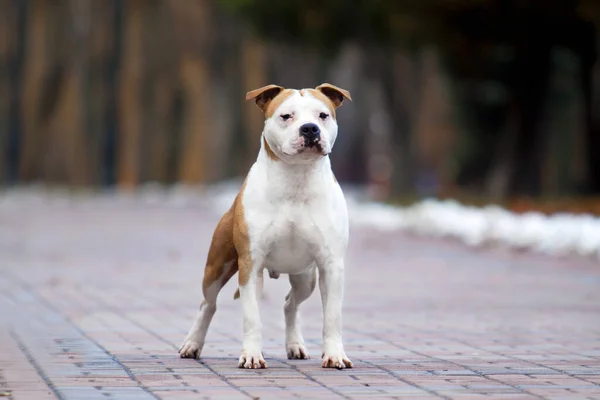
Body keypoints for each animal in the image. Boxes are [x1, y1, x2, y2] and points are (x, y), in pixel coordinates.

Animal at [180, 83, 354, 370]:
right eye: (286, 116)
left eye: (323, 115)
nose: (309, 129)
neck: (296, 179)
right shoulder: (251, 264)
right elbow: (252, 316)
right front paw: (251, 355)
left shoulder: (332, 265)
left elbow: (332, 316)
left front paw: (335, 355)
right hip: (217, 267)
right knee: (208, 304)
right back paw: (192, 345)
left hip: (305, 278)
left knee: (290, 304)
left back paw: (295, 345)